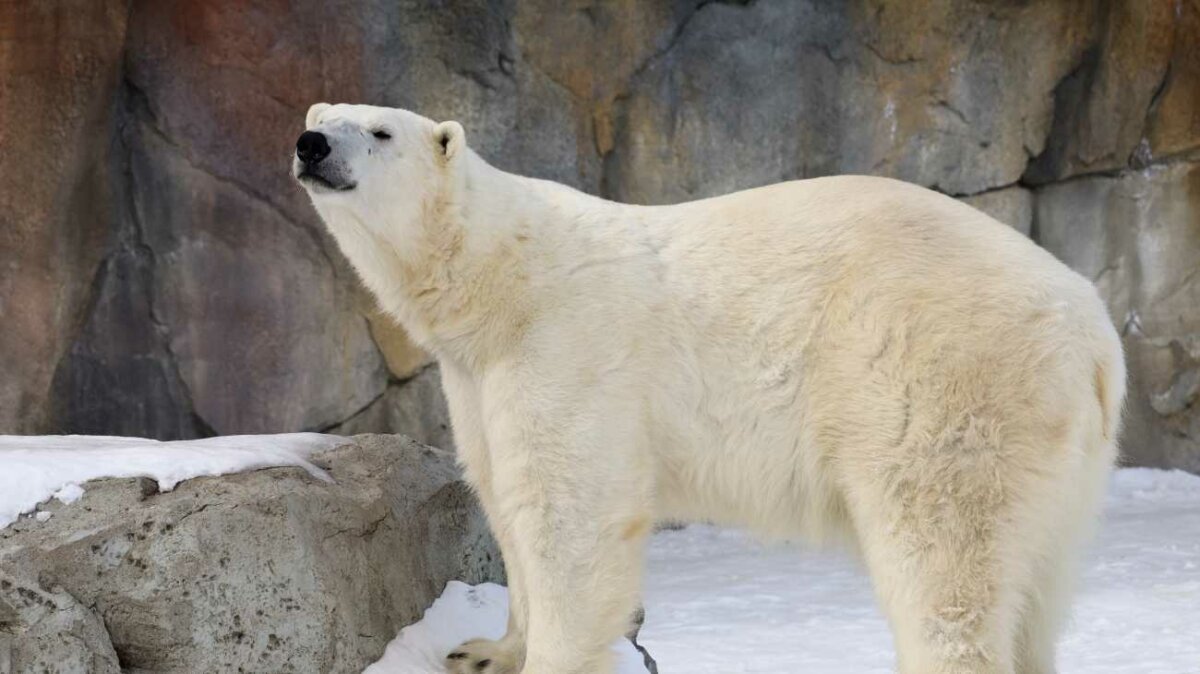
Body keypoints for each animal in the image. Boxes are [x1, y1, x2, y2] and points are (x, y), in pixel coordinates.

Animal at [294, 103, 1124, 674]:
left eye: (380, 131)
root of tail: (1093, 333)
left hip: (947, 379)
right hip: (1061, 458)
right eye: (321, 117)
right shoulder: (478, 375)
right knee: (1035, 586)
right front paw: (483, 649)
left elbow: (568, 517)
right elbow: (502, 493)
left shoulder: (571, 346)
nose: (312, 146)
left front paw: (545, 658)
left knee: (942, 556)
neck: (503, 277)